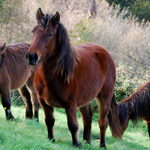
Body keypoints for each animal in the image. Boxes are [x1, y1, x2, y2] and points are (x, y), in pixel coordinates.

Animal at [25, 8, 123, 149]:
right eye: (33, 31)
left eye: (50, 34)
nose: (31, 56)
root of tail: (105, 53)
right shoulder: (44, 102)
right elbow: (49, 121)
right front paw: (51, 139)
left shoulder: (70, 105)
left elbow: (73, 125)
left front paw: (76, 143)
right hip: (85, 99)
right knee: (88, 118)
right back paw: (87, 142)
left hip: (105, 97)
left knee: (102, 122)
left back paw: (102, 145)